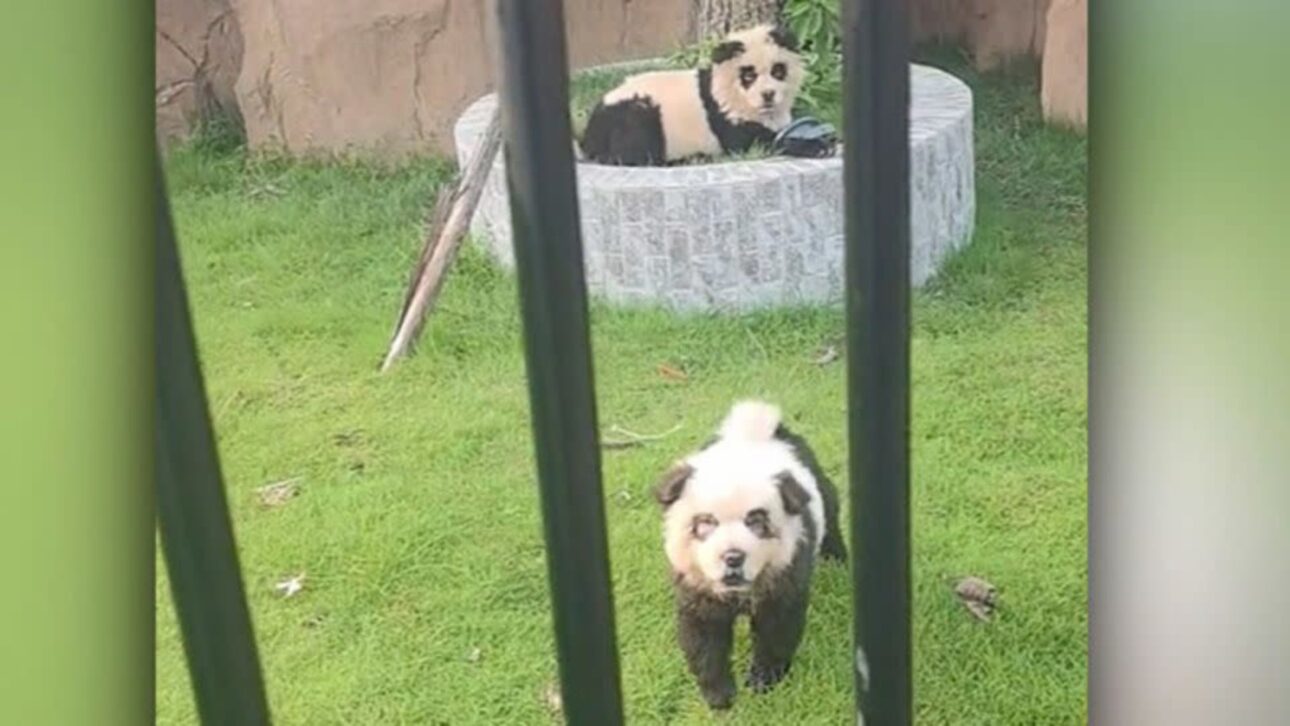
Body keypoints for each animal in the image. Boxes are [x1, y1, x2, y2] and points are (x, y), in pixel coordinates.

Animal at [579, 25, 805, 166]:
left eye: (778, 71)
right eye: (748, 76)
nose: (768, 95)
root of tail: (590, 134)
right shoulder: (725, 113)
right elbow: (752, 142)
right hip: (637, 111)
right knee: (633, 149)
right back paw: (689, 158)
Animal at [653, 399, 847, 710]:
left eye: (756, 522)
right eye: (705, 523)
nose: (733, 557)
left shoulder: (784, 572)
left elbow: (776, 628)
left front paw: (762, 682)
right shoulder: (697, 587)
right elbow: (704, 638)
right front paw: (719, 697)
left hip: (817, 484)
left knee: (831, 513)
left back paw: (837, 560)